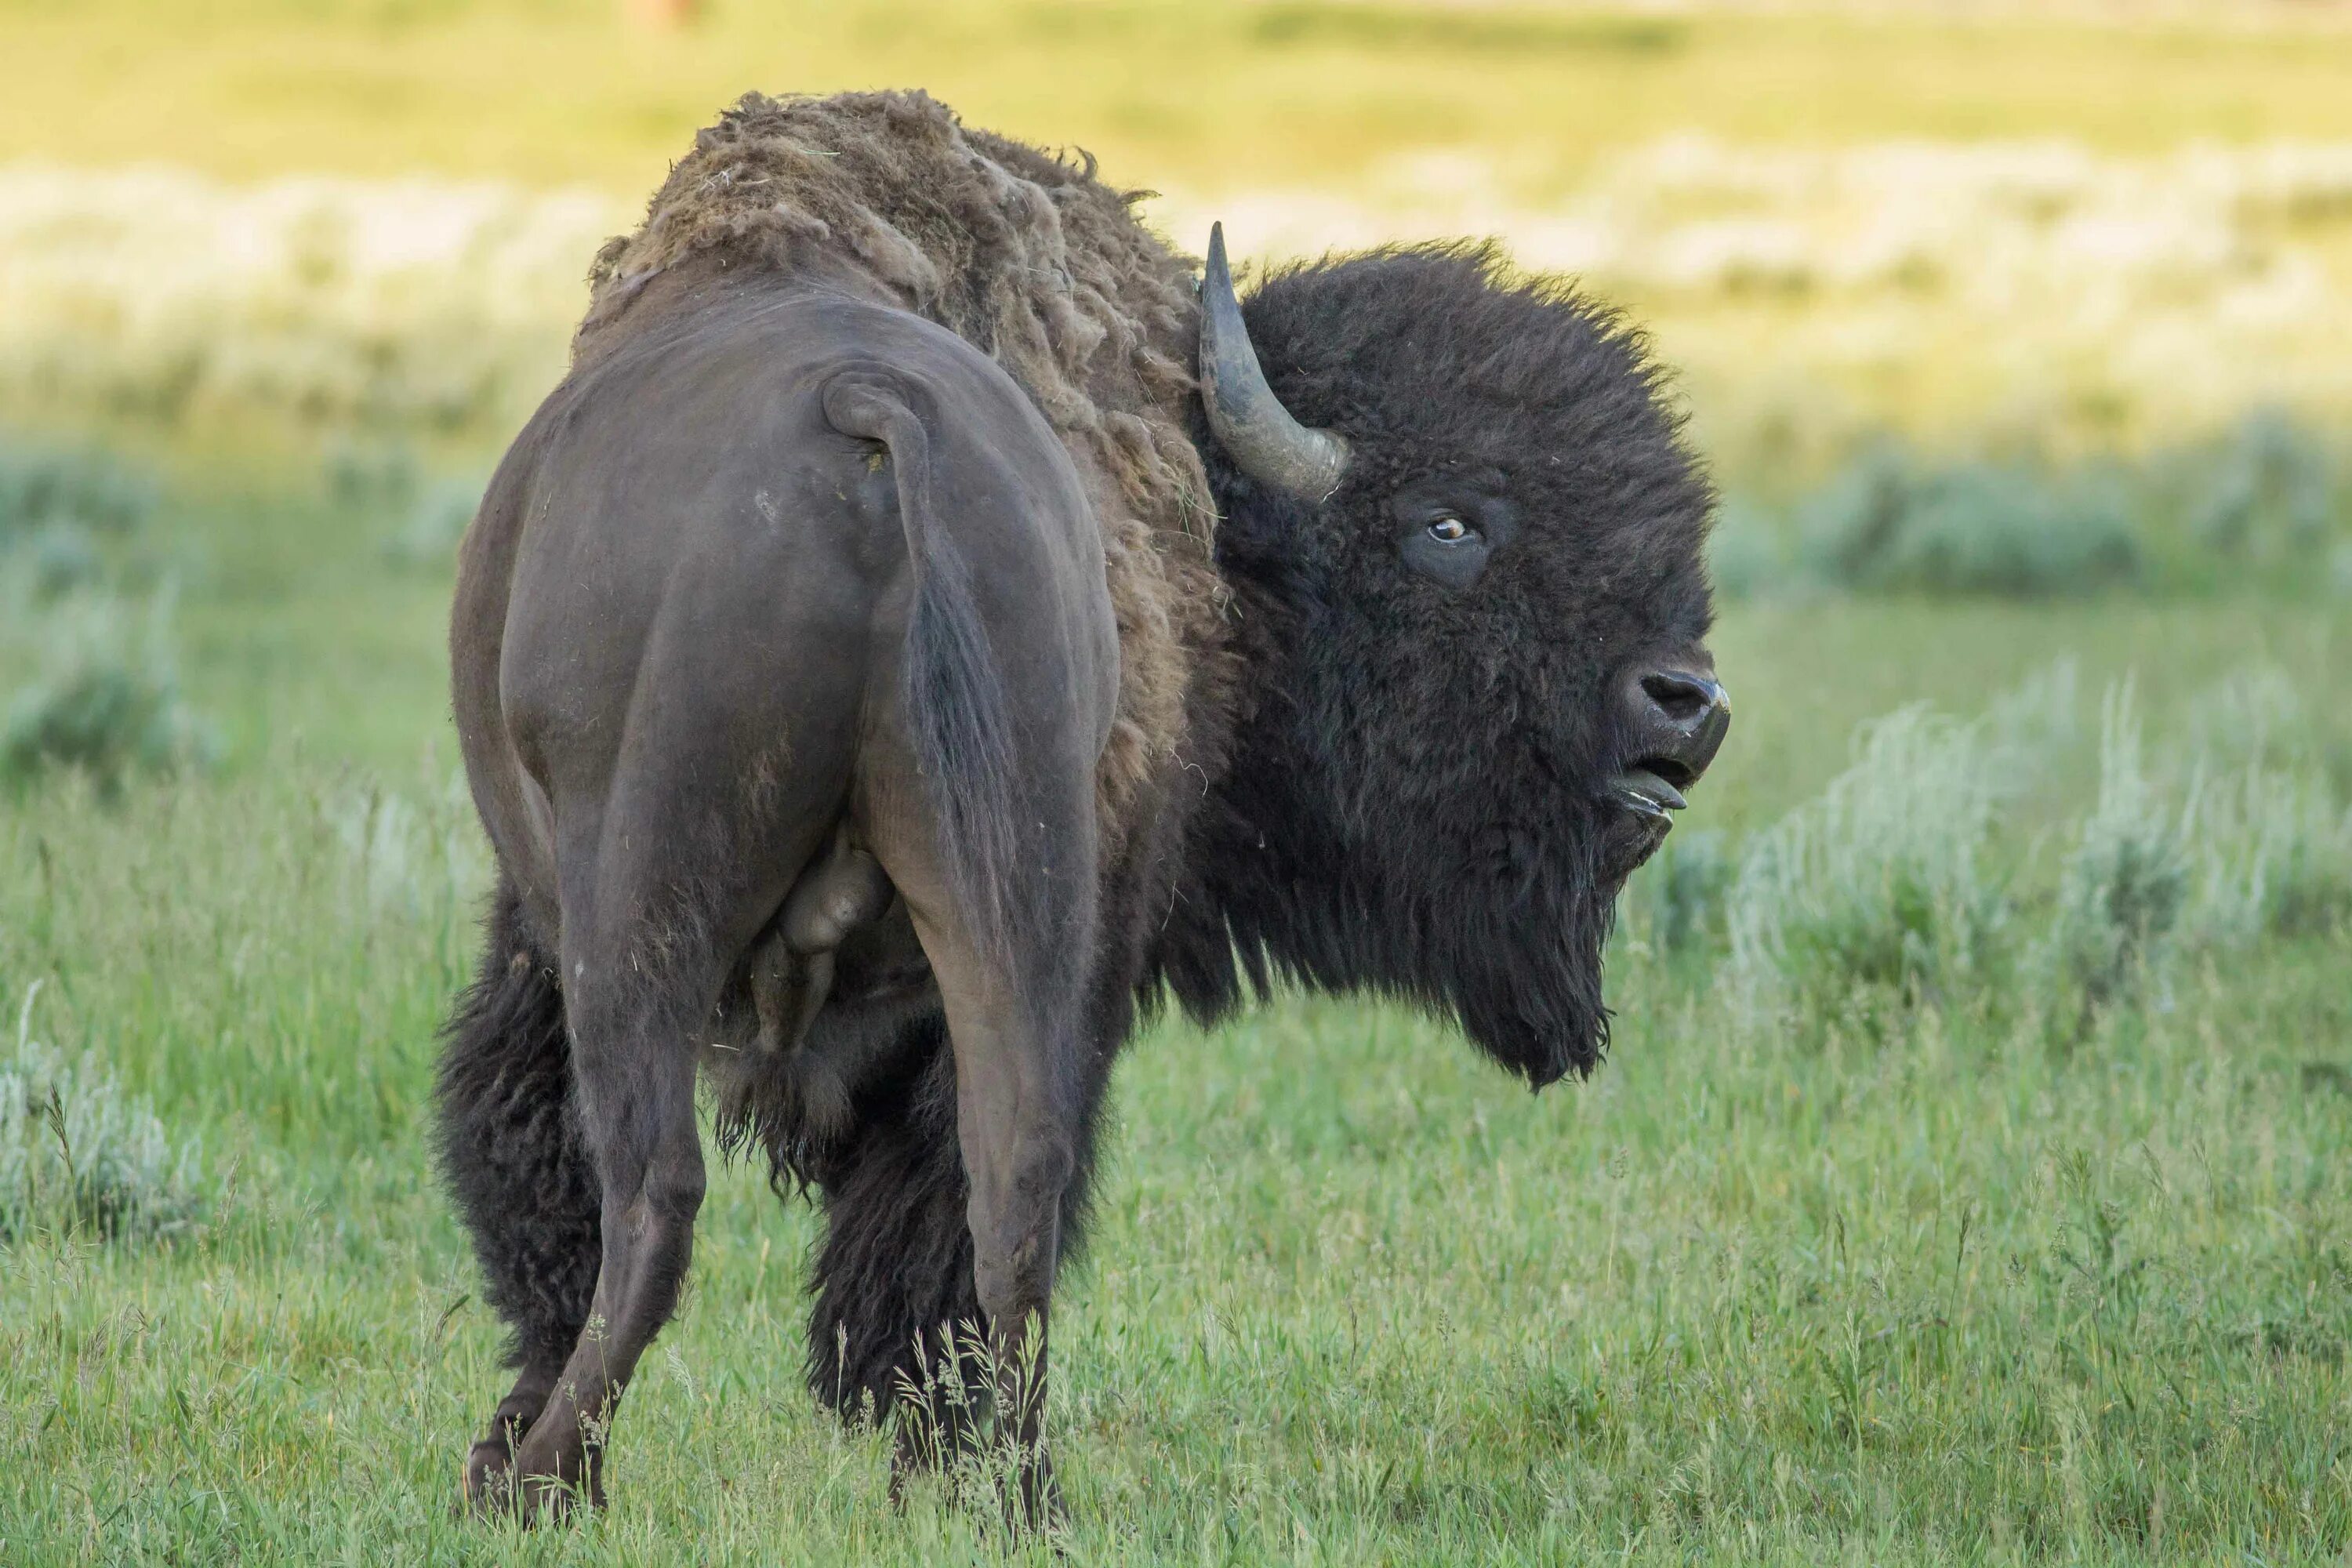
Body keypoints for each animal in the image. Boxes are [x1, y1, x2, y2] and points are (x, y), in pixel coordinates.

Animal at [442, 89, 1731, 1523]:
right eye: (1450, 526)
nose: (1684, 703)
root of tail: (869, 411)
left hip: (638, 913)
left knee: (655, 1193)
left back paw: (536, 1480)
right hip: (1015, 905)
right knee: (1009, 1191)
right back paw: (1014, 1490)